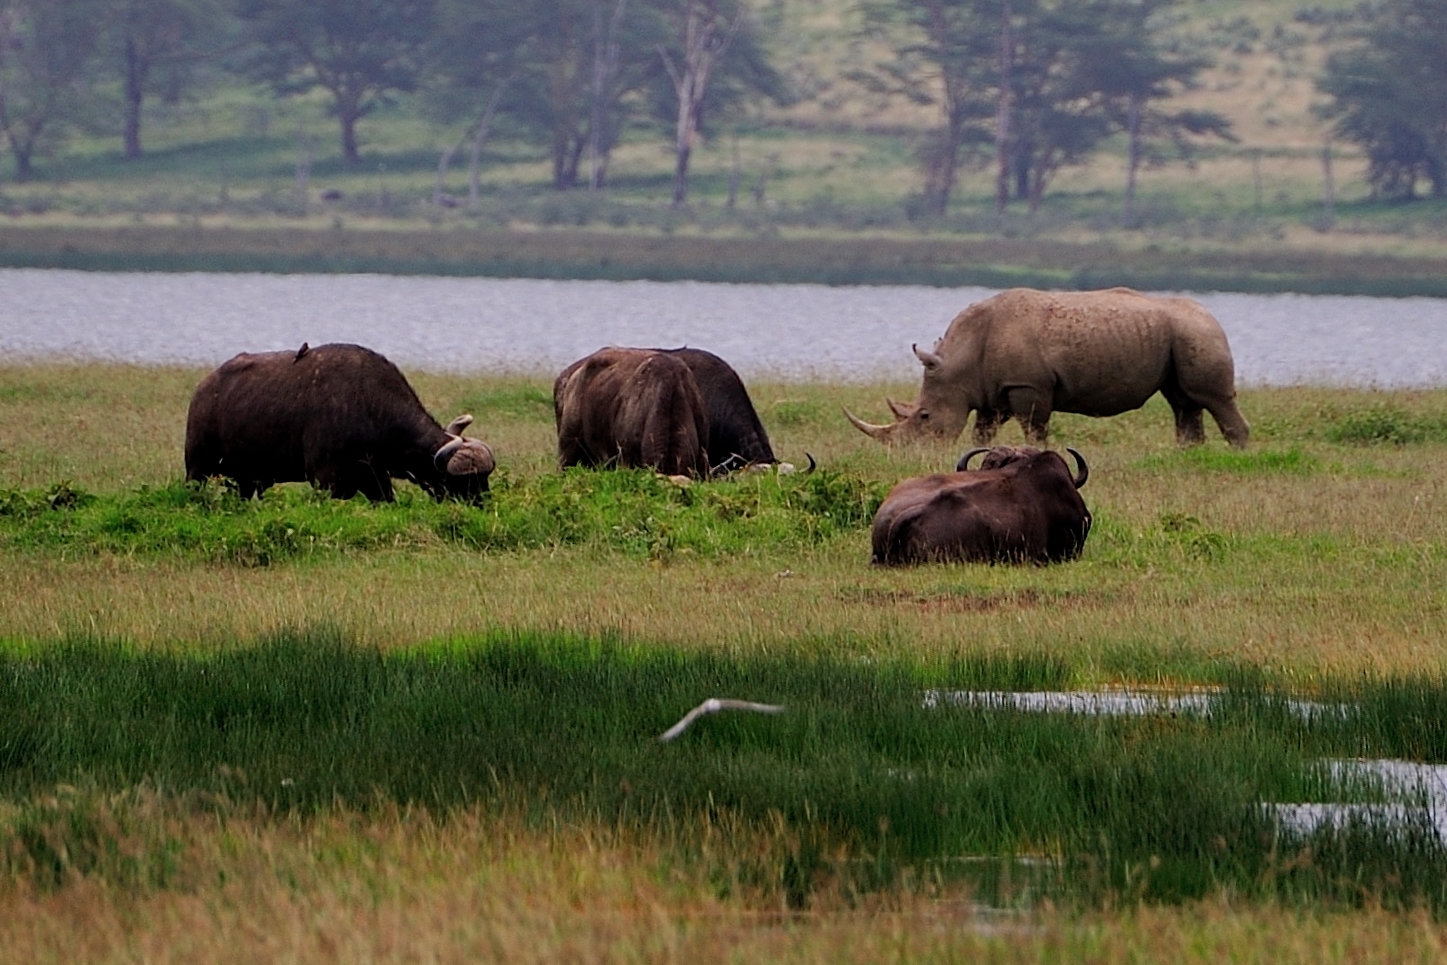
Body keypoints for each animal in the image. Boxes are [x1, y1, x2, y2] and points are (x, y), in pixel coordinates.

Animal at [185, 342, 497, 503]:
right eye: (465, 482)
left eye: (485, 479)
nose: (481, 506)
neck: (370, 408)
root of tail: (204, 388)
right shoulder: (328, 481)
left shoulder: (376, 478)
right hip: (197, 468)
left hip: (247, 480)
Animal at [845, 286, 1250, 448]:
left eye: (925, 416)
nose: (906, 453)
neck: (960, 360)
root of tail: (1212, 315)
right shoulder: (994, 390)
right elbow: (982, 431)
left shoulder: (1027, 385)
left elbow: (1034, 429)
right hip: (1180, 335)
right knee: (1183, 401)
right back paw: (1189, 452)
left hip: (1199, 332)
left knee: (1210, 397)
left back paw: (1237, 452)